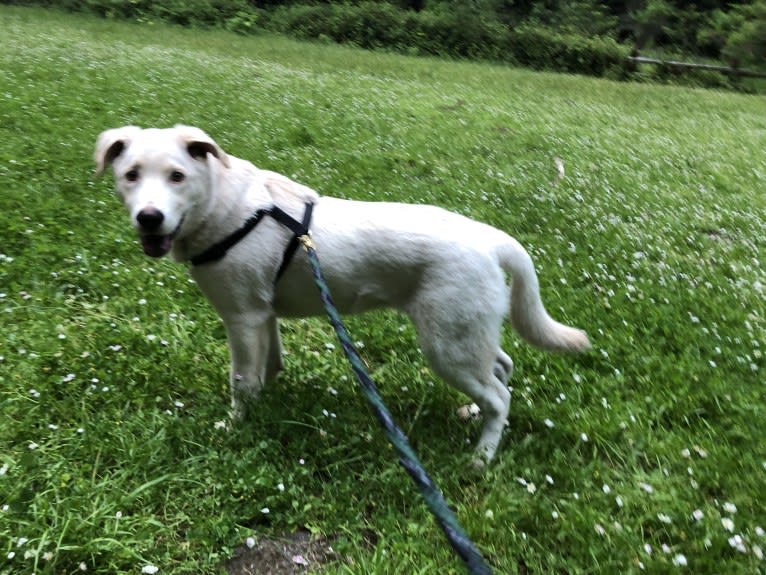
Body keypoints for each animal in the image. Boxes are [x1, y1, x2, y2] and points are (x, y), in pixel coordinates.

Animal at [94, 125, 588, 464]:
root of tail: (491, 238)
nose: (149, 217)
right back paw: (473, 413)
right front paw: (268, 402)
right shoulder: (262, 315)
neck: (225, 208)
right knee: (502, 367)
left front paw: (235, 425)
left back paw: (481, 457)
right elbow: (268, 368)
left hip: (448, 345)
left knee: (500, 397)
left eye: (177, 176)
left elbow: (242, 382)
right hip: (468, 334)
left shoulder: (241, 317)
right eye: (131, 175)